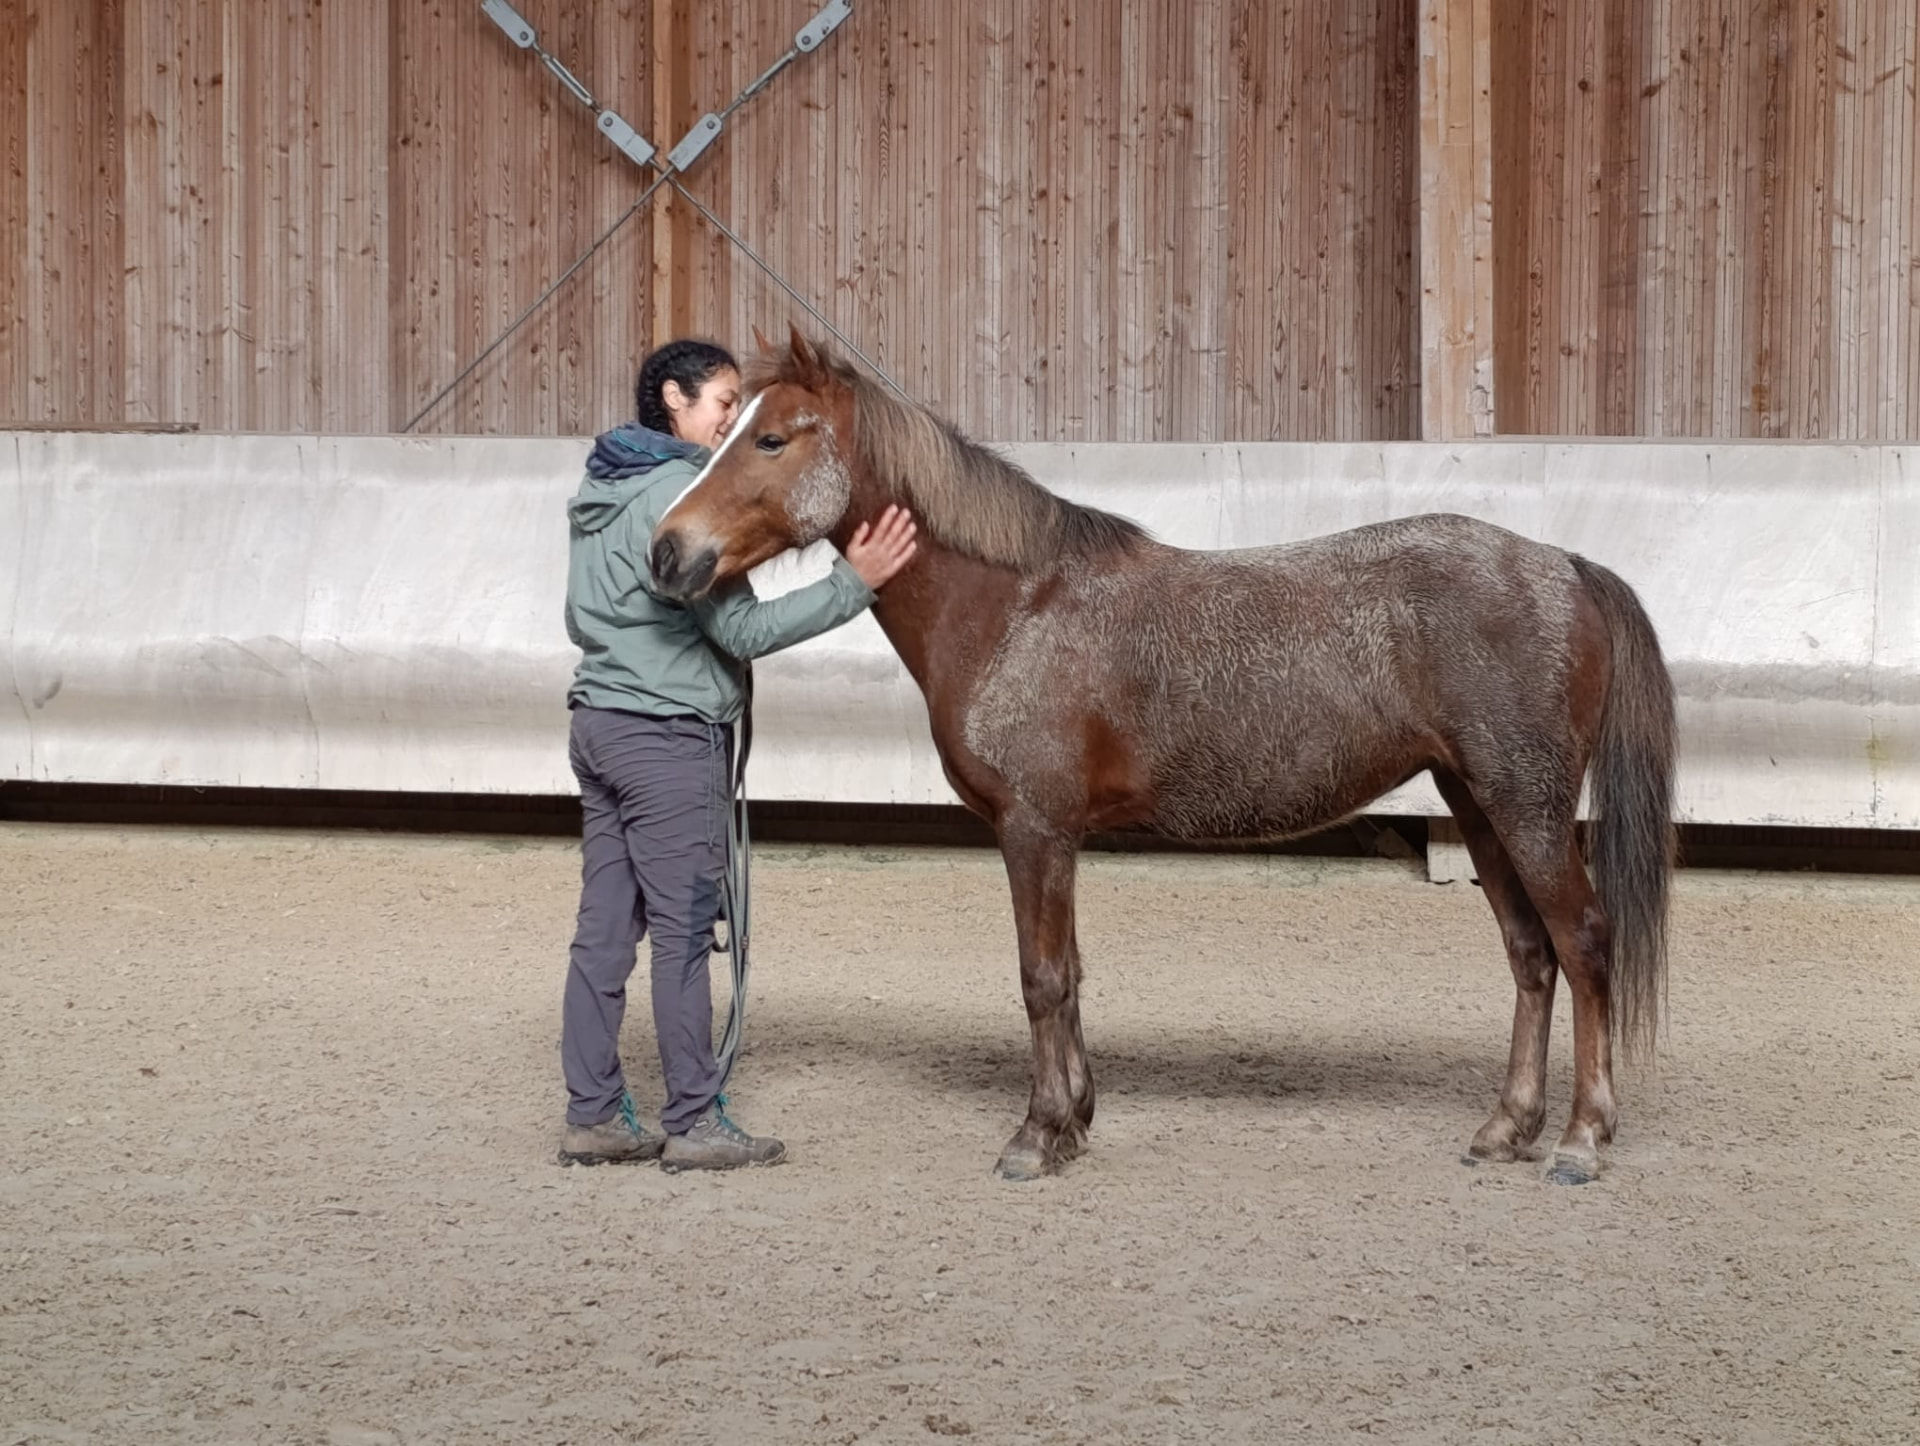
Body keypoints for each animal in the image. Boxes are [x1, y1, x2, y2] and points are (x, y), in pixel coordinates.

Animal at [650, 327, 1676, 1187]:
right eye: (724, 429)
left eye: (770, 439)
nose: (667, 553)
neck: (1017, 605)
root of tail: (1563, 564)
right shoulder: (1057, 837)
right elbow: (1068, 975)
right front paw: (1075, 1119)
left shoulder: (1033, 830)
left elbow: (1041, 978)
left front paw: (1037, 1136)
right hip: (1477, 800)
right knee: (1530, 954)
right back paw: (1506, 1128)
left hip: (1526, 804)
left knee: (1583, 943)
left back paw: (1581, 1139)